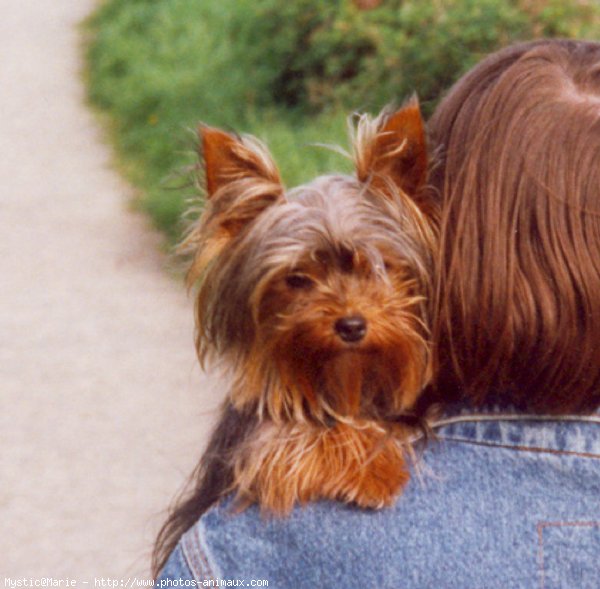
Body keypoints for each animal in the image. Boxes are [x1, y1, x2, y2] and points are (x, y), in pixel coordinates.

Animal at [178, 100, 436, 520]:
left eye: (379, 266)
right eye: (297, 279)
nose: (351, 325)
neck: (344, 382)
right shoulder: (255, 439)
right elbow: (292, 435)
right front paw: (372, 473)